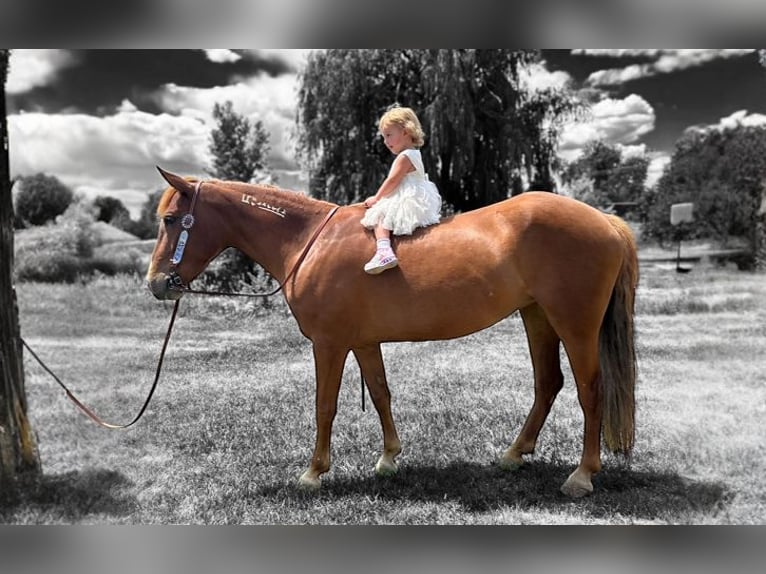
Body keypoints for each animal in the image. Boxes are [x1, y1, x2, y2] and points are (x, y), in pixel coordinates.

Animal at [146, 167, 638, 498]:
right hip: (536, 316)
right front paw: (388, 459)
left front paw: (313, 472)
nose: (155, 284)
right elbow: (381, 393)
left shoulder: (329, 344)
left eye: (171, 219)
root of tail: (605, 221)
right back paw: (513, 455)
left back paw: (581, 476)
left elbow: (325, 407)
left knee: (590, 389)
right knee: (548, 383)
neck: (309, 241)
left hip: (574, 323)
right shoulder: (364, 342)